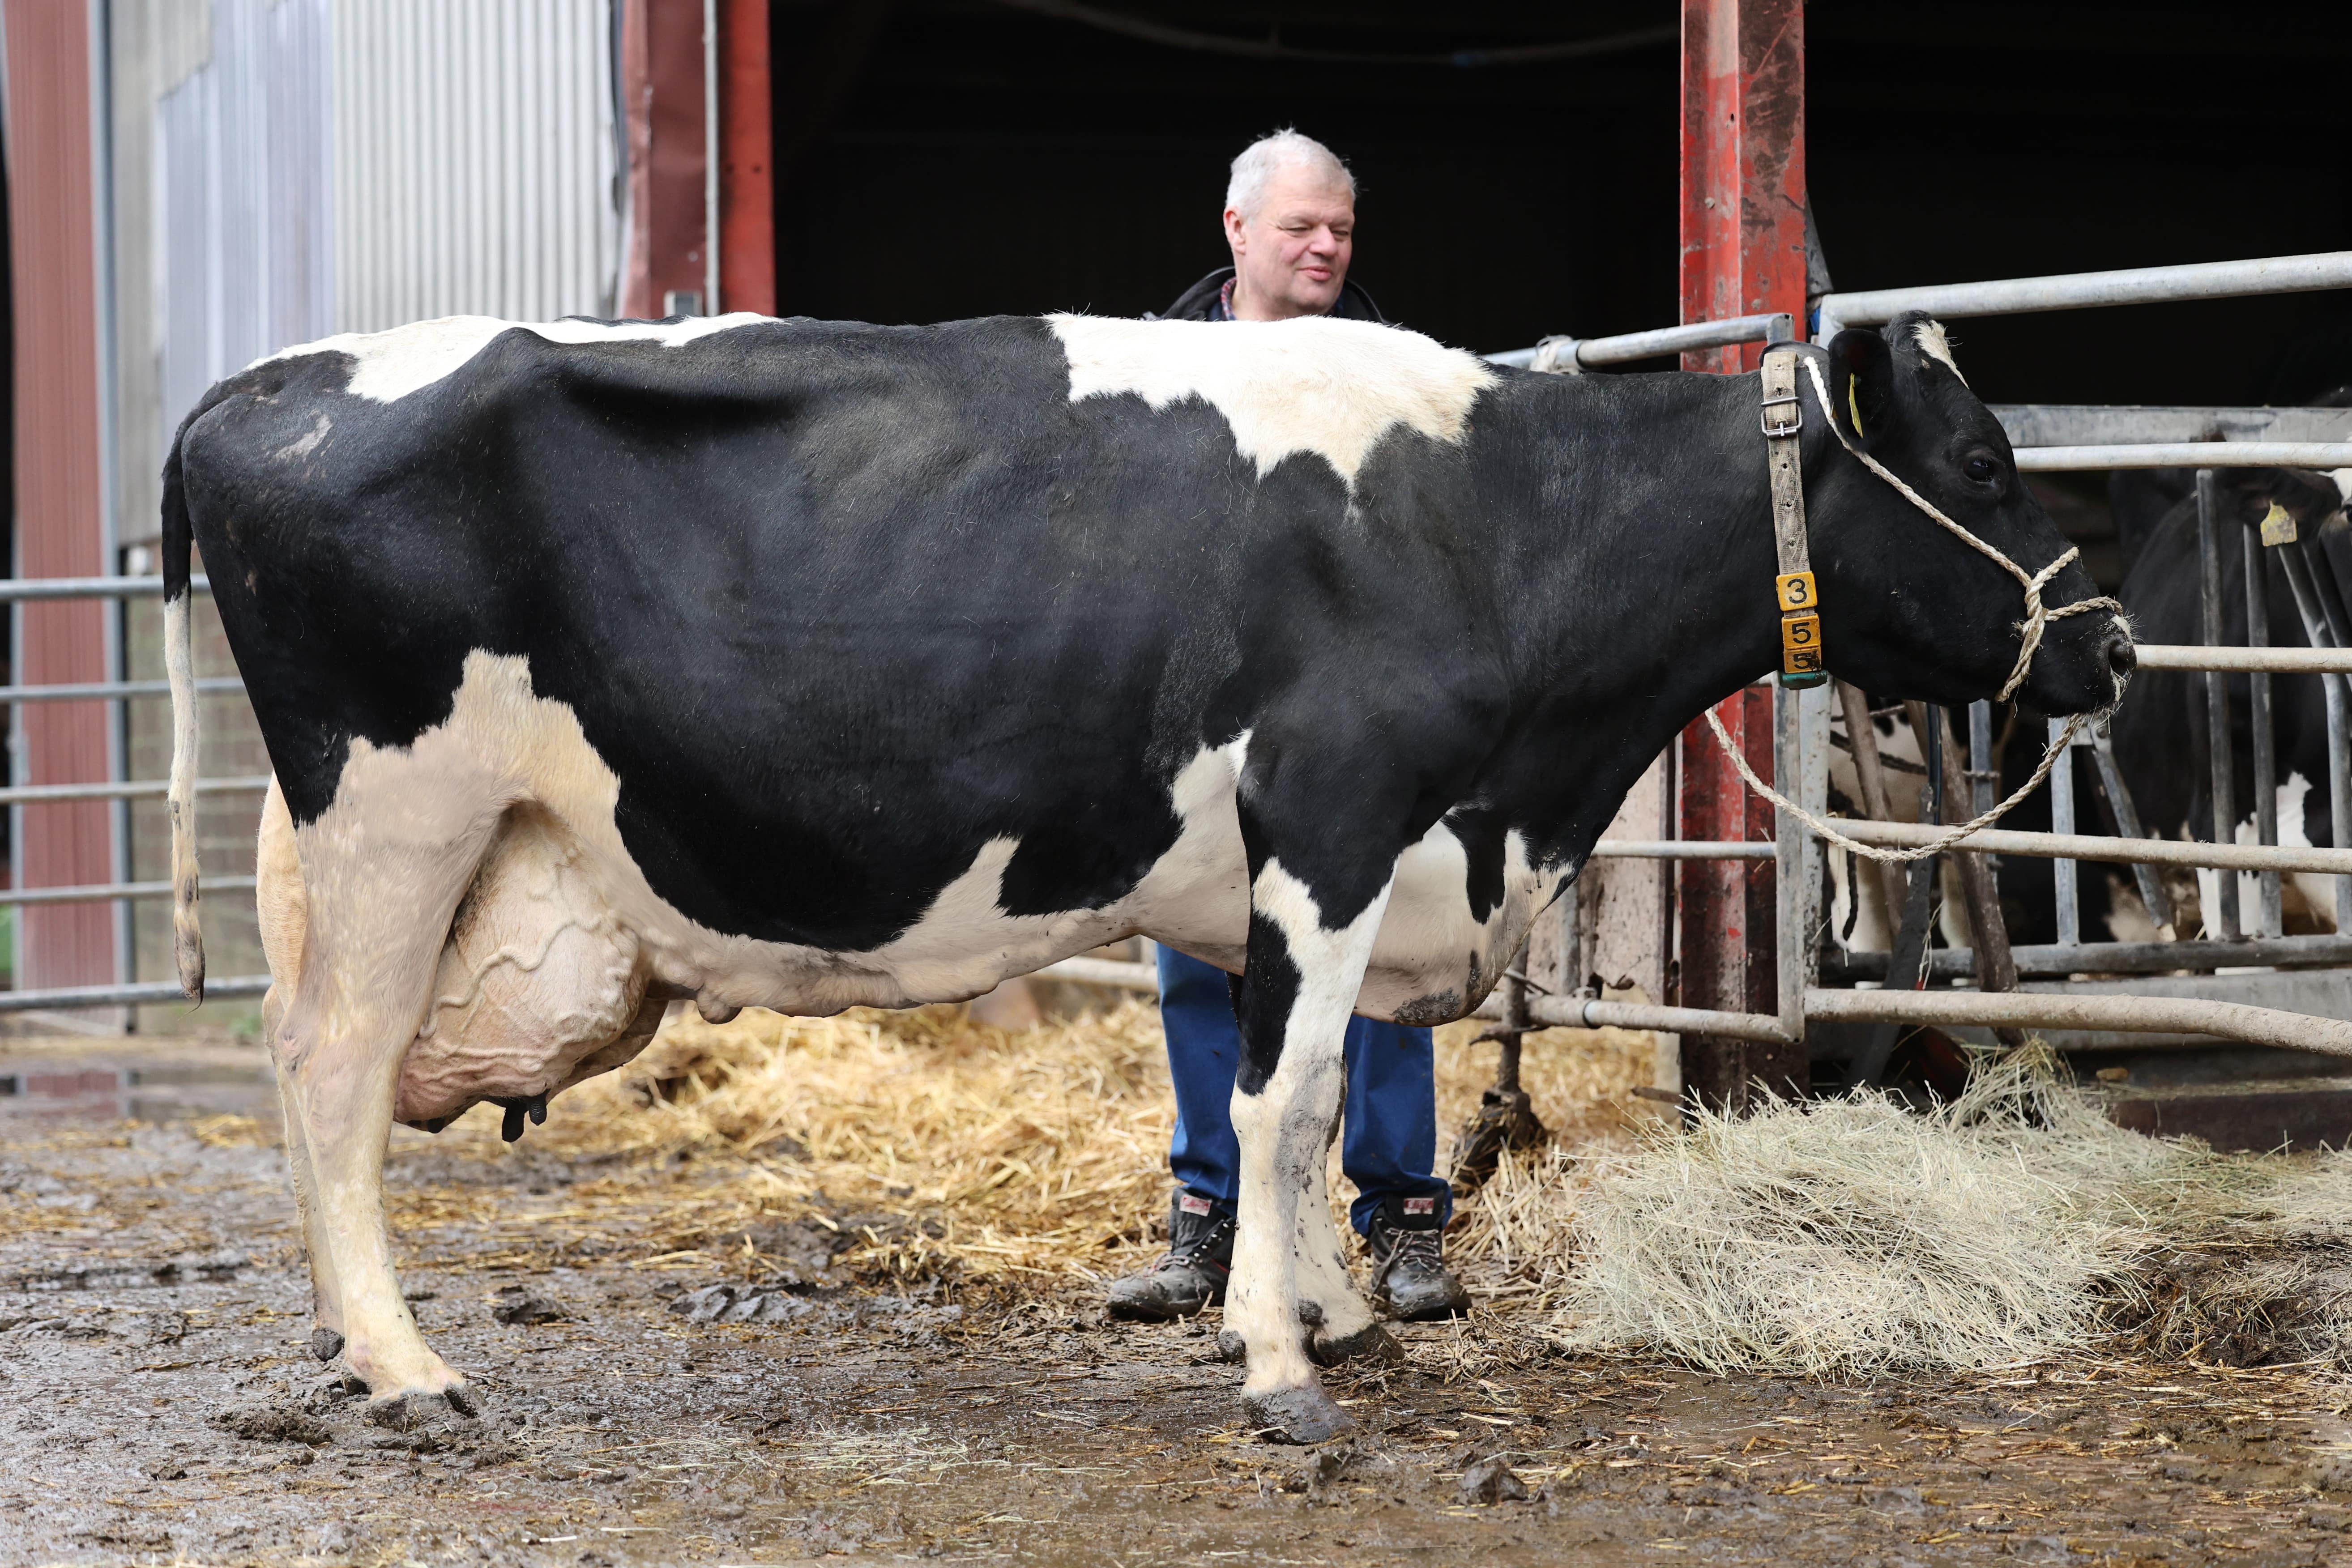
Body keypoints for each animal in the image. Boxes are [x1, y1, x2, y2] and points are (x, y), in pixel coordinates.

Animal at [156, 305, 2126, 1448]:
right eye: (1978, 457)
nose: (2106, 645)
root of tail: (270, 379)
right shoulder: (1331, 817)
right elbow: (1275, 1097)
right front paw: (1279, 1368)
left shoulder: (1326, 865)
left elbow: (1304, 1101)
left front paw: (1329, 1311)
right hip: (396, 813)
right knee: (328, 1079)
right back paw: (409, 1371)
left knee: (306, 1074)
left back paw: (347, 1350)